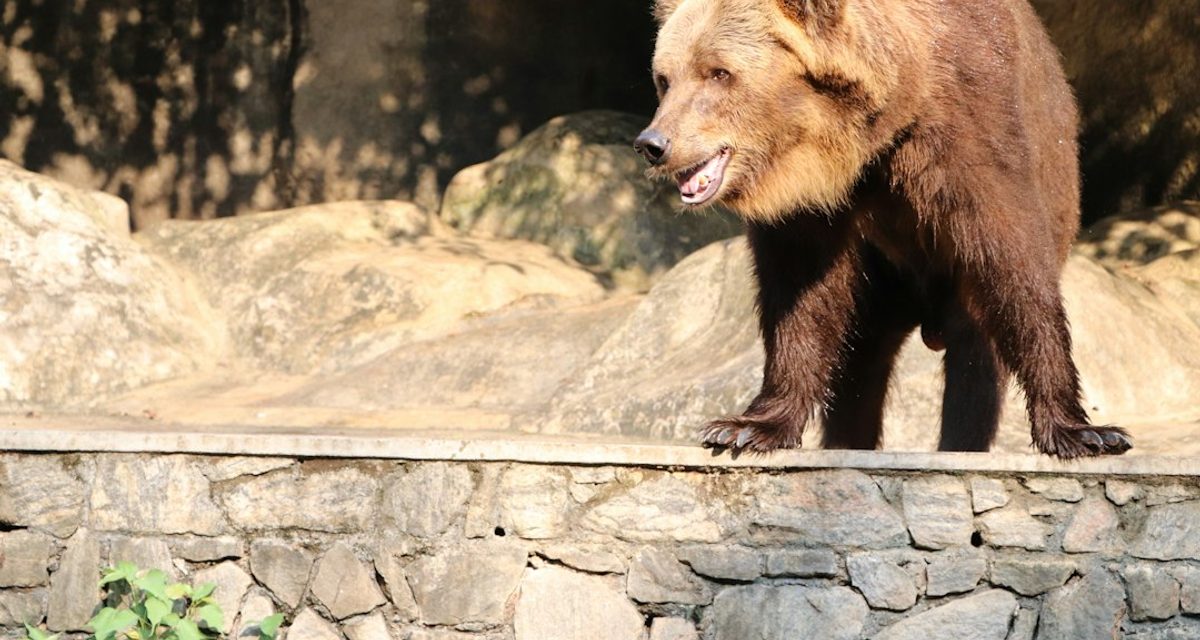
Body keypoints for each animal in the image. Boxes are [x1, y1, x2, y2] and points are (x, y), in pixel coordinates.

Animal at [633, 0, 1132, 458]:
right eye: (665, 78)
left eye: (719, 72)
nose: (654, 144)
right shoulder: (815, 207)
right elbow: (801, 295)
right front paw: (747, 427)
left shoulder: (968, 134)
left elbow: (1012, 262)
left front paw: (1082, 431)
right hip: (882, 280)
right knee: (862, 356)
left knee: (974, 352)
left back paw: (958, 444)